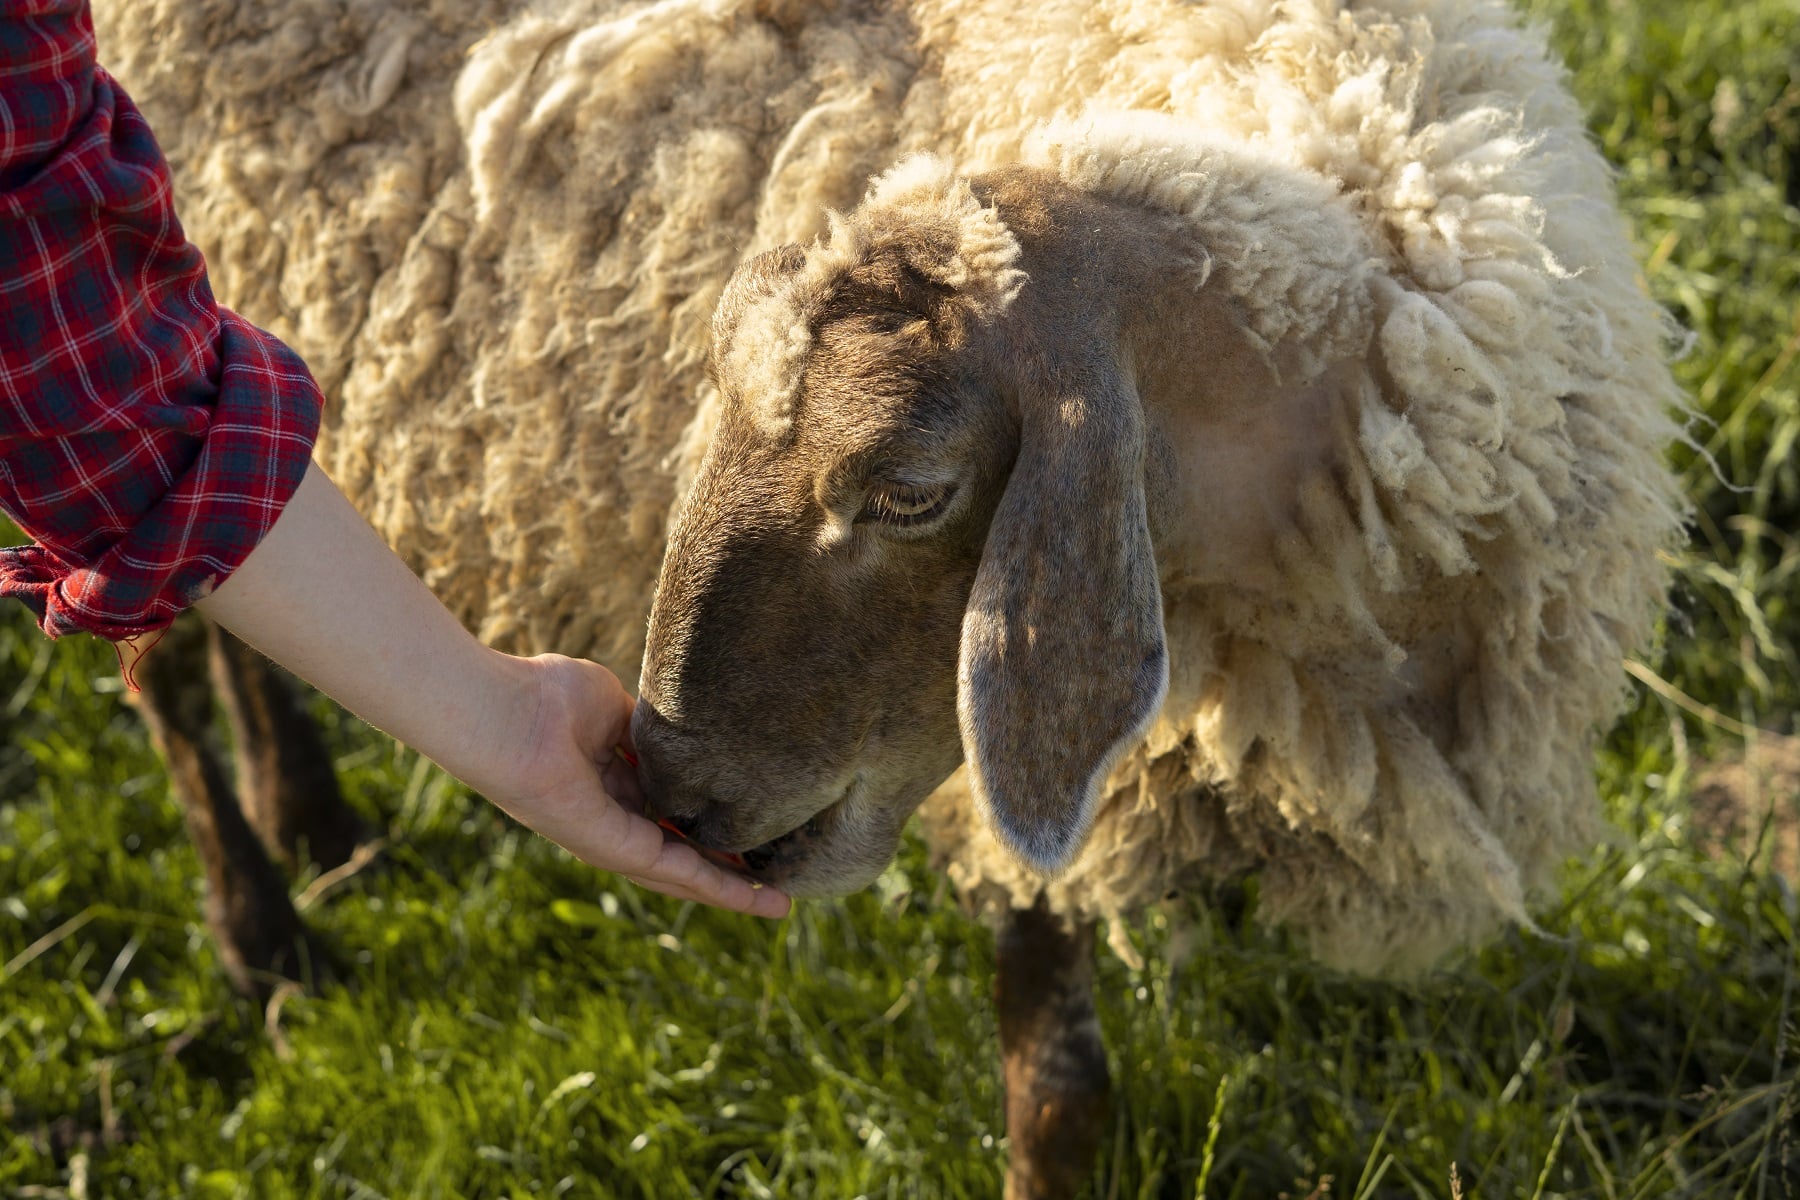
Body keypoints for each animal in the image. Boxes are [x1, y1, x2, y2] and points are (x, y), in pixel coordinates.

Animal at [98, 4, 1692, 1194]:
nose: (669, 788)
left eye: (911, 489)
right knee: (161, 621)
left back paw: (315, 814)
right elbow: (1061, 1089)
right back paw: (262, 934)